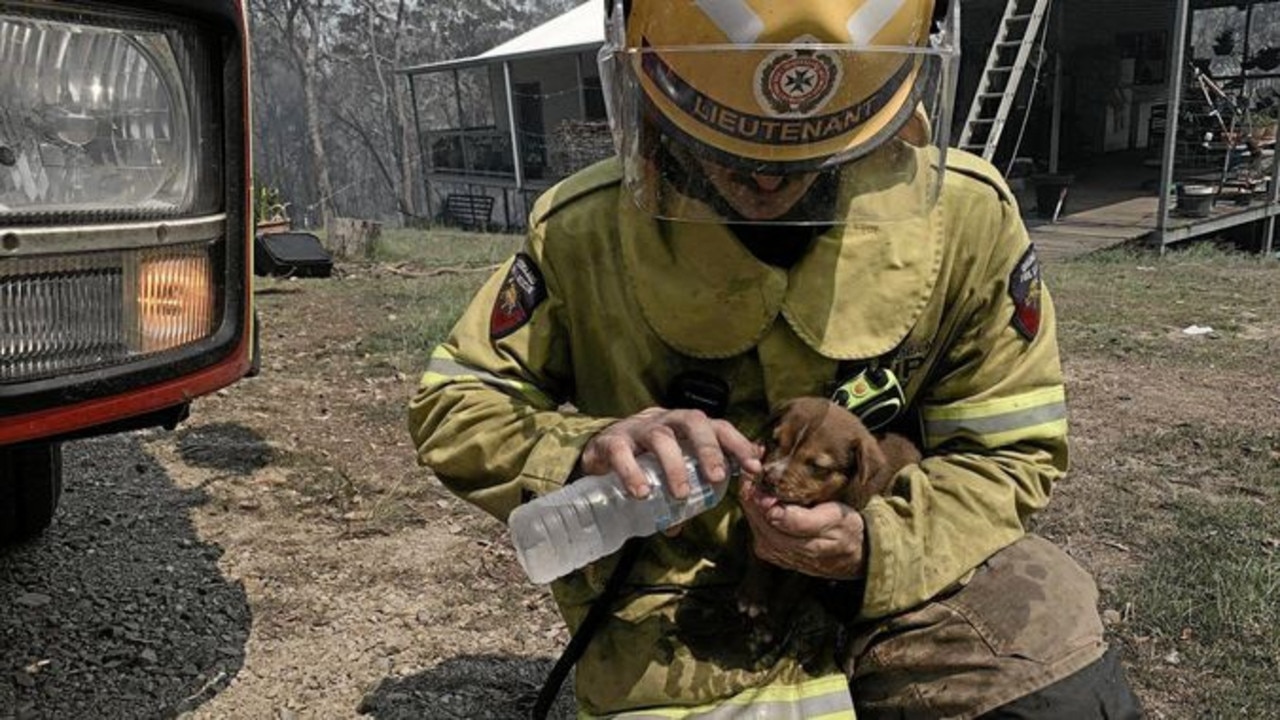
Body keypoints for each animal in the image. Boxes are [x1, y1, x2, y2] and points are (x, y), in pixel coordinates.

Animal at [742, 397, 921, 627]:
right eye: (774, 441)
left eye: (817, 466)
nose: (767, 478)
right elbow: (755, 555)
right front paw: (752, 596)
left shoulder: (813, 564)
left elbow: (789, 591)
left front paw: (770, 624)